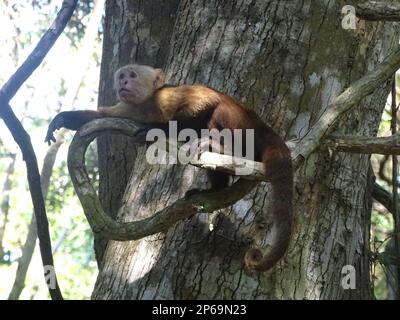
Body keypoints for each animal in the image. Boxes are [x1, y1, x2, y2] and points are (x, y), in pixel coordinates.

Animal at [46, 63, 294, 272]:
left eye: (132, 75)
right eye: (122, 76)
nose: (123, 82)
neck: (146, 105)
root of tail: (262, 126)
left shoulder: (164, 96)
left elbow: (203, 102)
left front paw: (153, 130)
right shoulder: (128, 109)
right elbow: (99, 116)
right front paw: (62, 119)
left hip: (243, 126)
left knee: (218, 107)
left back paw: (219, 146)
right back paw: (216, 189)